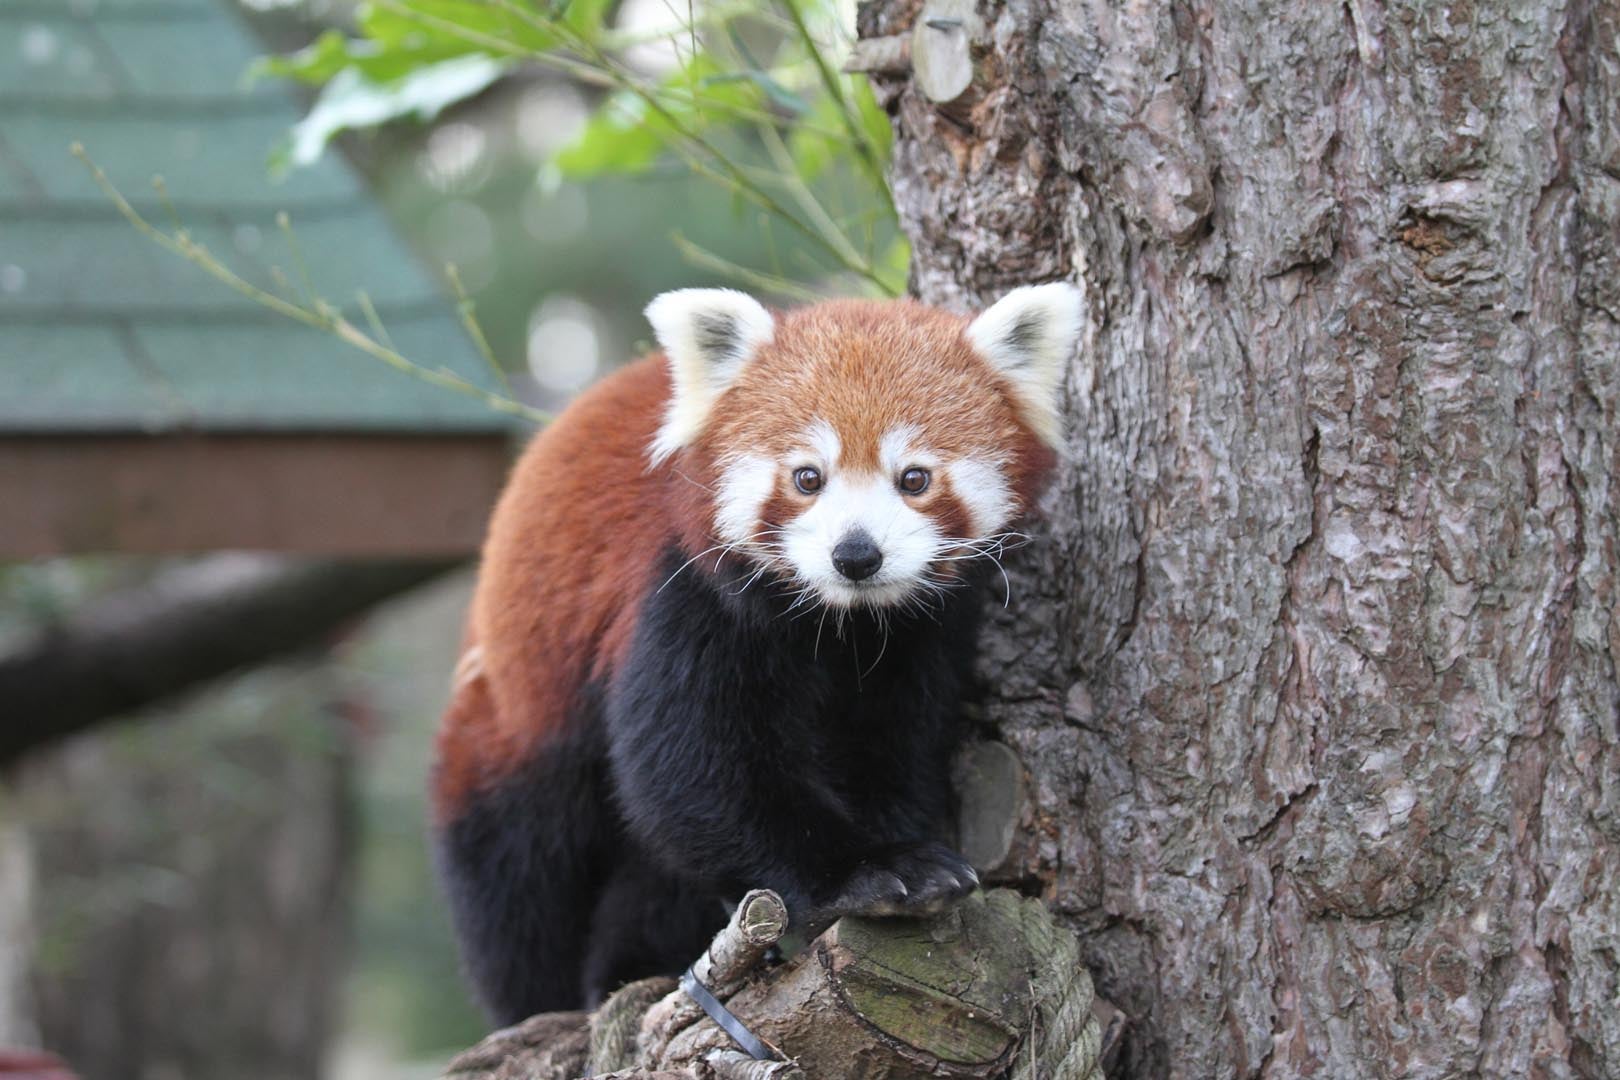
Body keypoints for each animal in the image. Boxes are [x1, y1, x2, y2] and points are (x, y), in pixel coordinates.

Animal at [437, 284, 1082, 1023]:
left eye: (914, 479)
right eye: (807, 477)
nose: (855, 554)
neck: (839, 623)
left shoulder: (917, 641)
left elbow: (891, 746)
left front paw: (898, 844)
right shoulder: (684, 592)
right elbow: (693, 771)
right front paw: (868, 871)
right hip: (513, 723)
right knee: (519, 874)